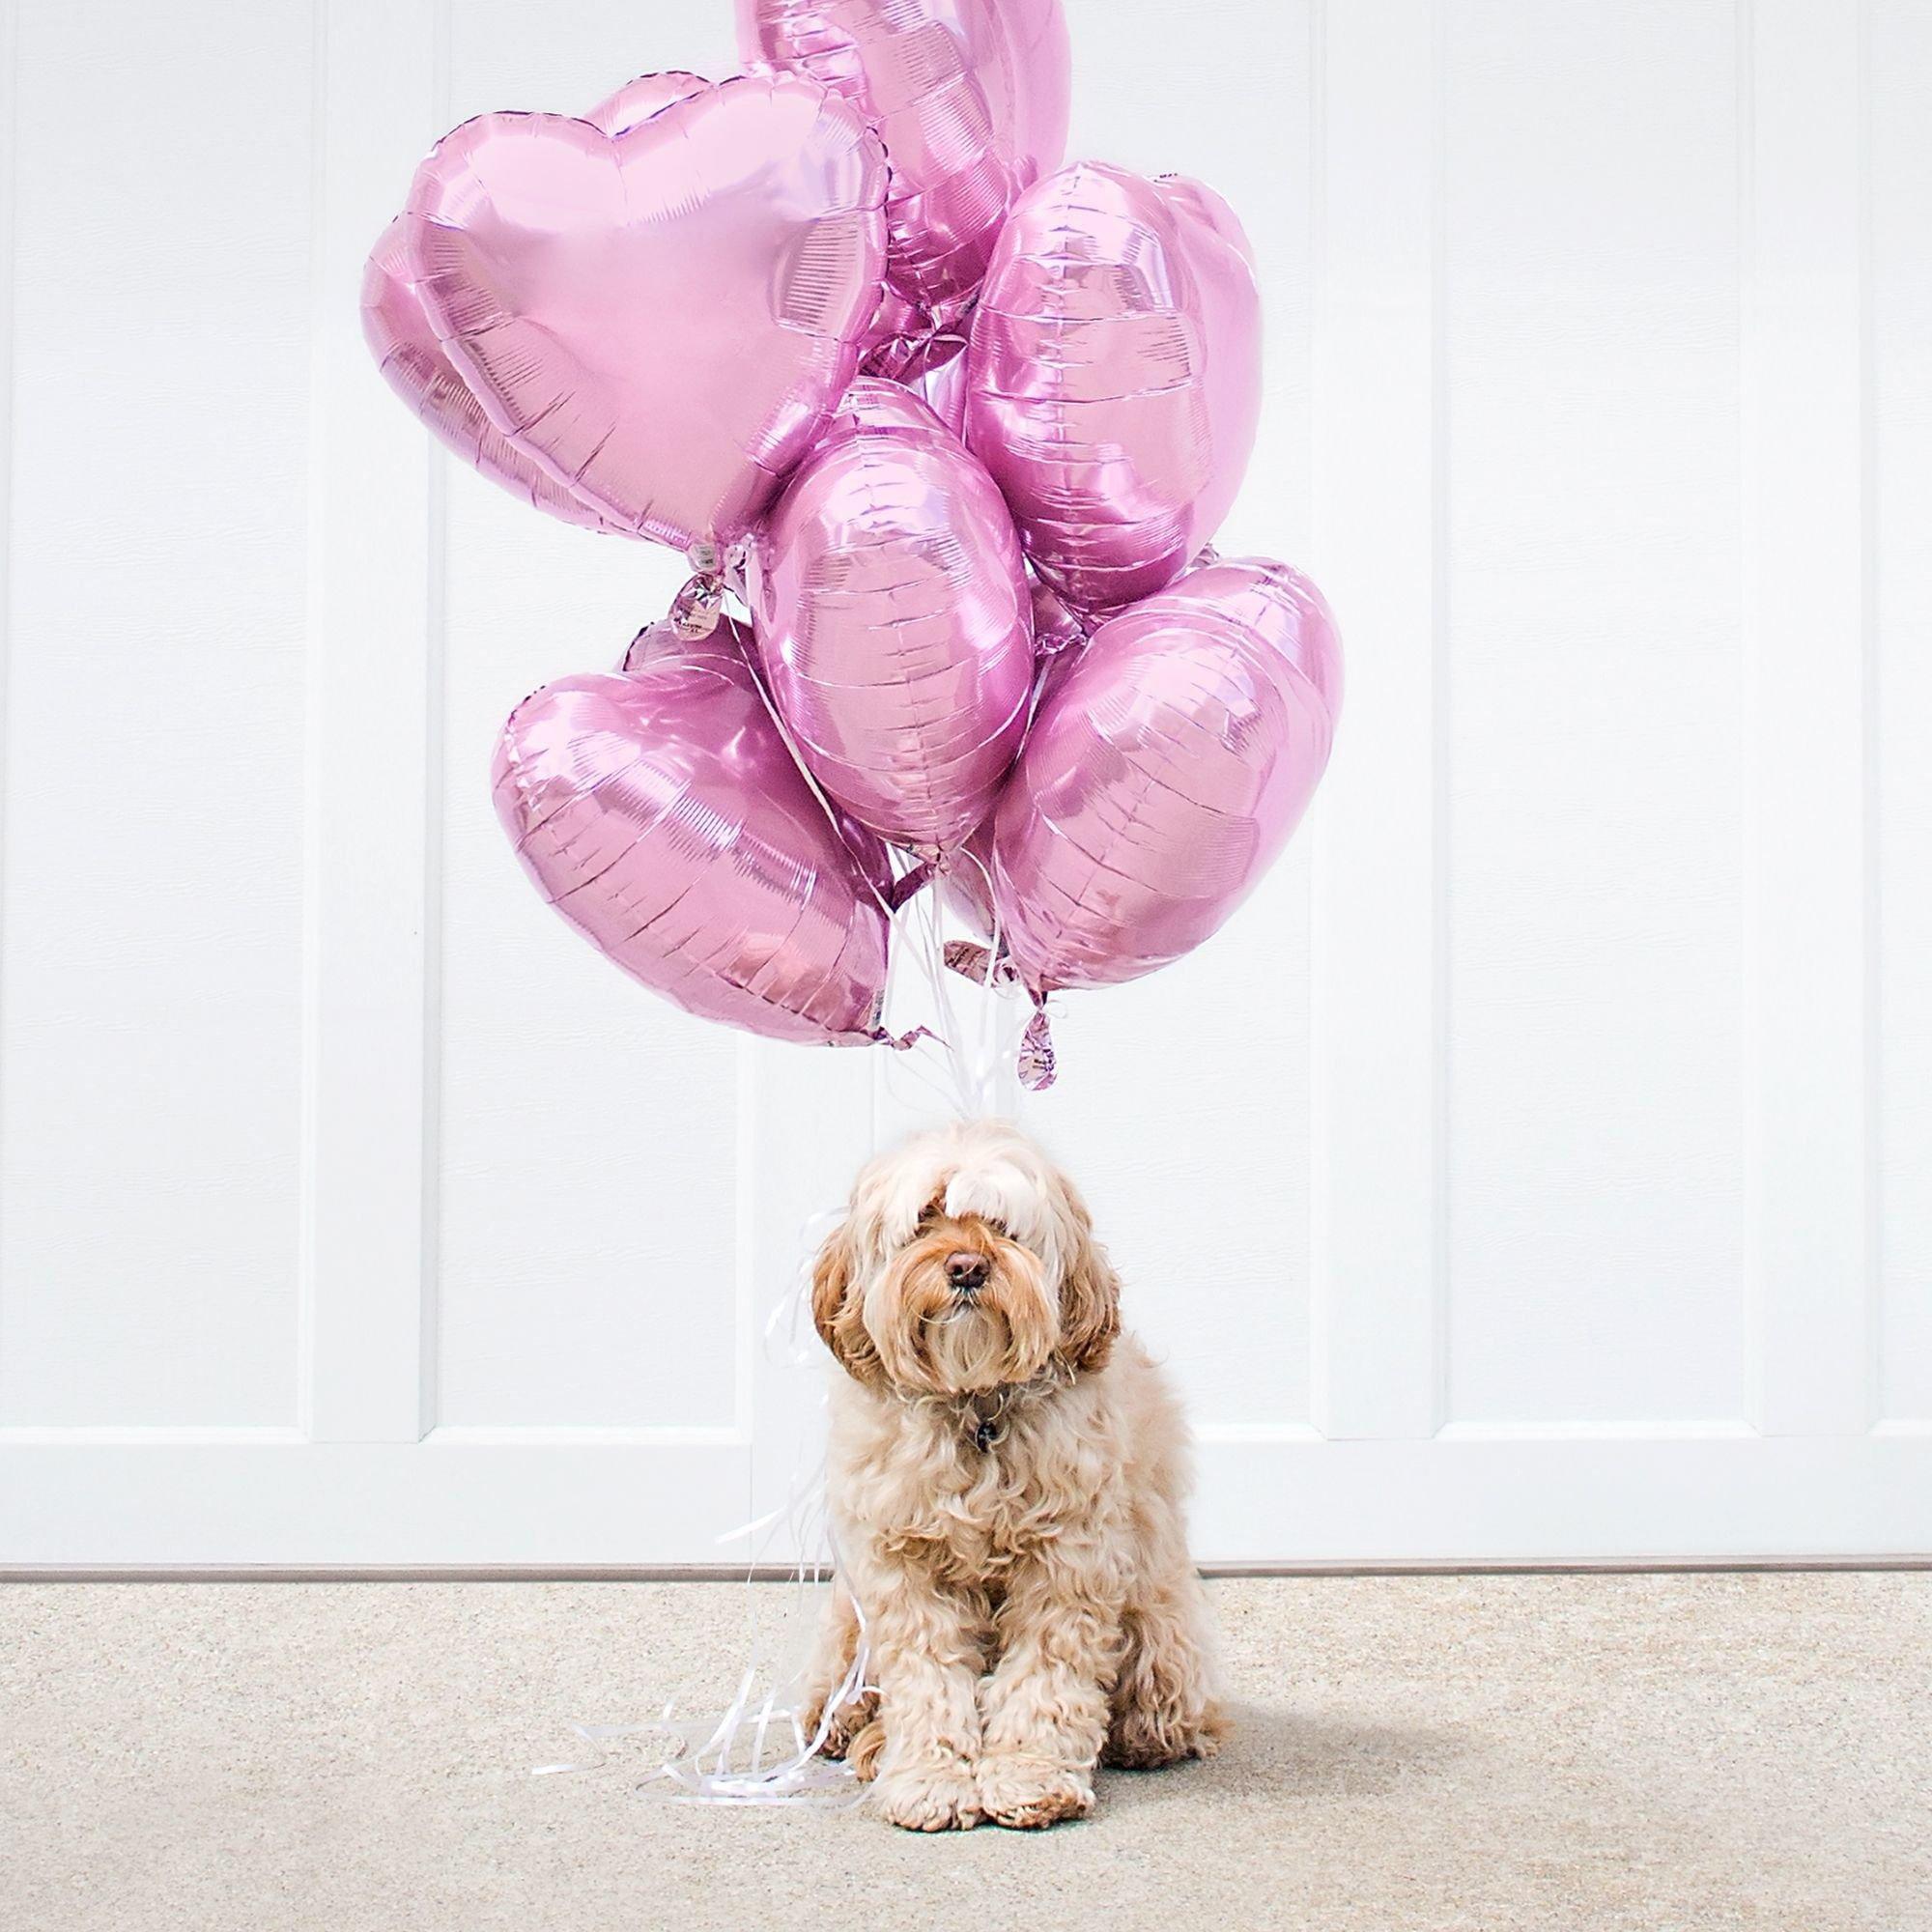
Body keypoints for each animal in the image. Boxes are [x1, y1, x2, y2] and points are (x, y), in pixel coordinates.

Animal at [800, 1121, 1221, 1824]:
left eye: (1001, 1224)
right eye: (926, 1218)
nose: (967, 1267)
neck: (975, 1402)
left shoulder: (1068, 1564)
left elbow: (1046, 1679)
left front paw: (1030, 1776)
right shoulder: (904, 1567)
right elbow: (926, 1678)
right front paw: (928, 1778)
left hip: (1158, 1619)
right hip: (847, 1623)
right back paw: (858, 1733)